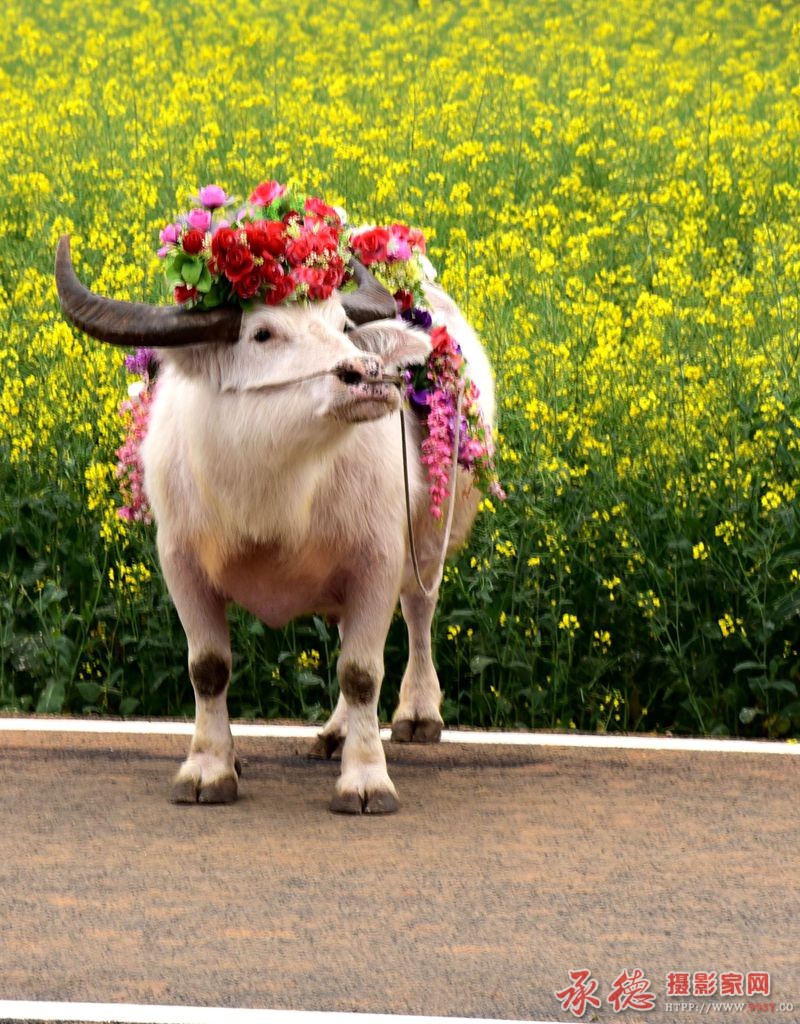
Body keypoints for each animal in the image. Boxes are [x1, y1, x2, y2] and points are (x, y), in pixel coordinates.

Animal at [54, 235, 493, 811]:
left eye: (342, 325)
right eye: (262, 333)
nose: (369, 375)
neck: (274, 484)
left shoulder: (376, 559)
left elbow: (361, 673)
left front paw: (366, 780)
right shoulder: (181, 562)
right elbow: (209, 669)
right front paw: (209, 769)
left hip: (430, 536)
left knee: (419, 610)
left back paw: (416, 714)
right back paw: (334, 734)